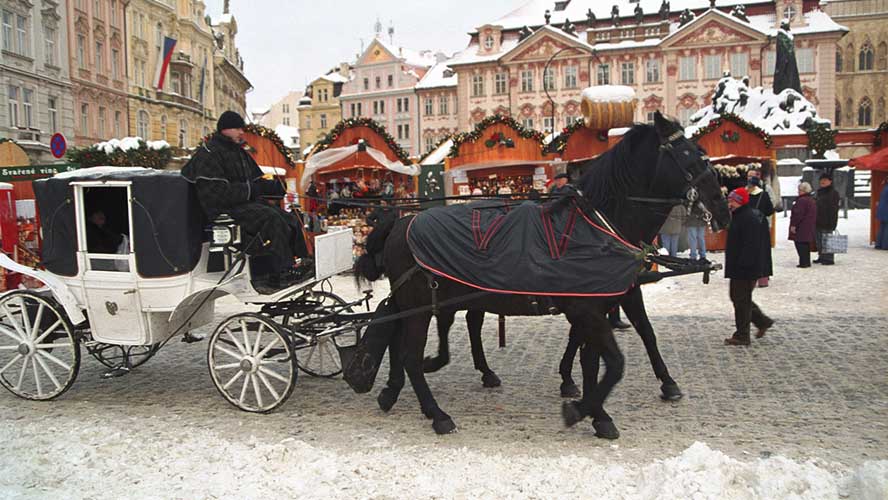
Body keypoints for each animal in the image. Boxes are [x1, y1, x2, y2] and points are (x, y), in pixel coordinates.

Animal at [354, 113, 728, 438]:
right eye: (690, 155)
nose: (722, 206)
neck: (598, 225)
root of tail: (400, 222)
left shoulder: (601, 303)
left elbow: (600, 359)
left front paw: (596, 410)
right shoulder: (588, 309)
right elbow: (614, 363)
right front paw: (583, 409)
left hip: (427, 302)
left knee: (407, 338)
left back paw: (394, 391)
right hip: (421, 305)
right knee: (411, 355)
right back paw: (437, 413)